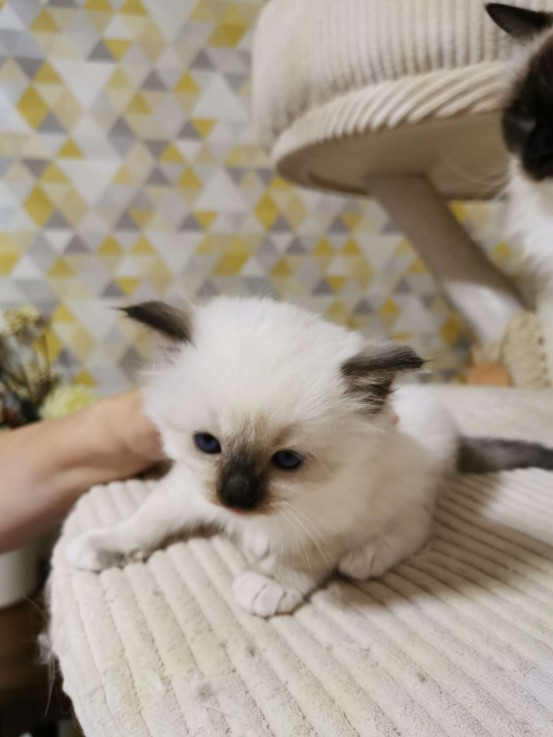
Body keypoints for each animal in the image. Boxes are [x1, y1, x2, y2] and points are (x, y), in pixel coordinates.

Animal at [64, 298, 548, 616]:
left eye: (288, 461)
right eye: (207, 444)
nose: (235, 498)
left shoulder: (331, 517)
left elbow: (301, 557)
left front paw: (268, 583)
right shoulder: (190, 487)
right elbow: (147, 520)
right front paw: (105, 545)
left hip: (400, 490)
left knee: (417, 525)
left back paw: (367, 557)